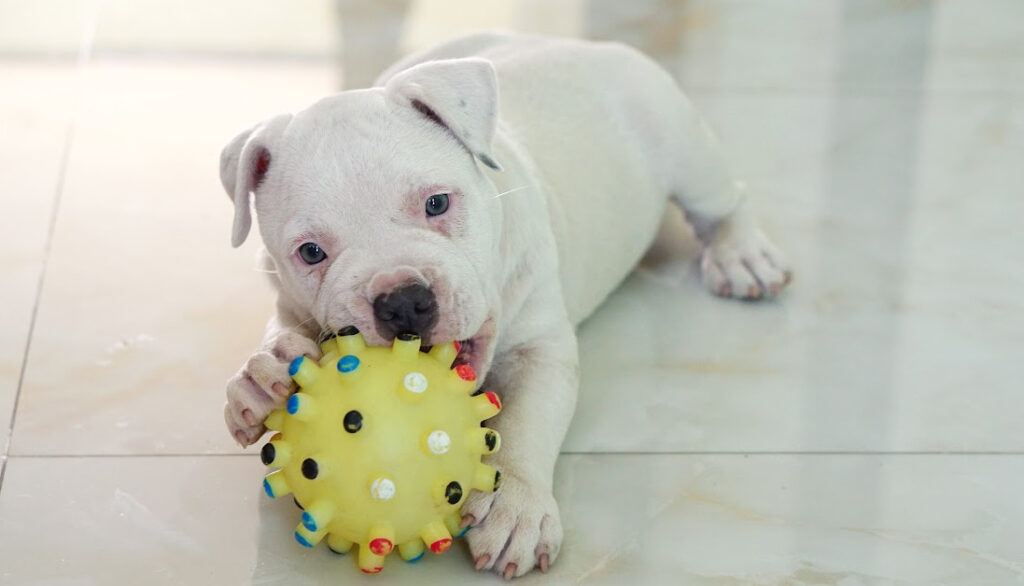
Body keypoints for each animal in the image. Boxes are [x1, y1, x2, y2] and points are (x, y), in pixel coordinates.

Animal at [218, 30, 790, 577]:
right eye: (310, 253)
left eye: (437, 203)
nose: (402, 303)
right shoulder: (284, 296)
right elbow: (281, 330)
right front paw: (261, 376)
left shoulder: (541, 352)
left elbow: (524, 424)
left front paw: (513, 506)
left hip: (685, 149)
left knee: (726, 201)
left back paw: (743, 255)